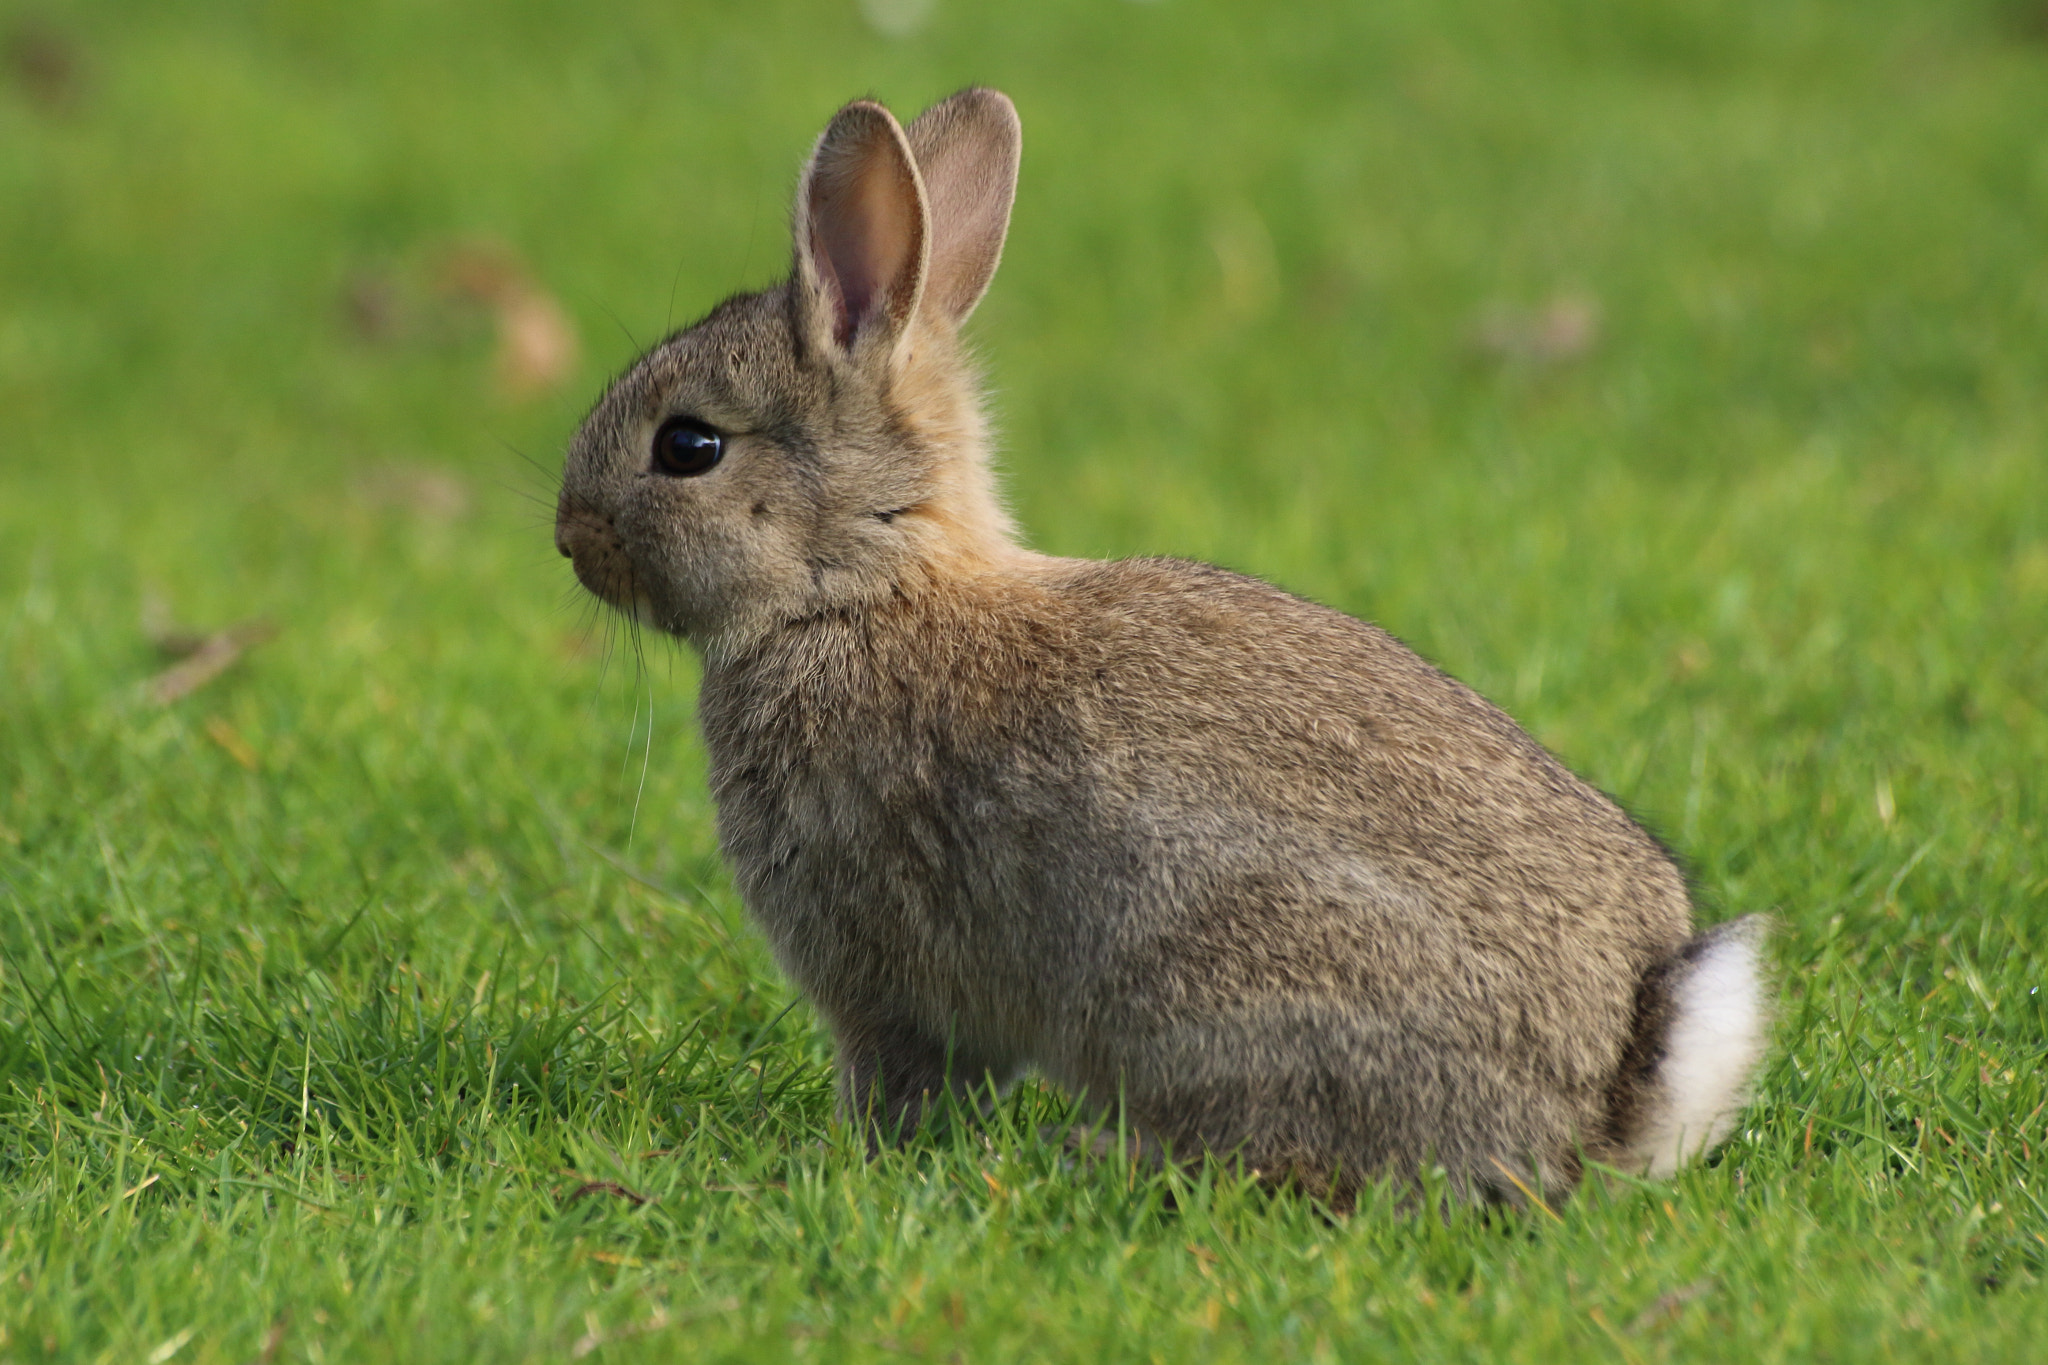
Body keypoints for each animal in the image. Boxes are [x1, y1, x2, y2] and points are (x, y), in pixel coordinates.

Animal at [554, 87, 1770, 1205]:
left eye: (689, 446)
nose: (568, 537)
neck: (860, 589)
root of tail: (1607, 1092)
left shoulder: (882, 978)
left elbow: (899, 1080)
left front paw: (851, 1157)